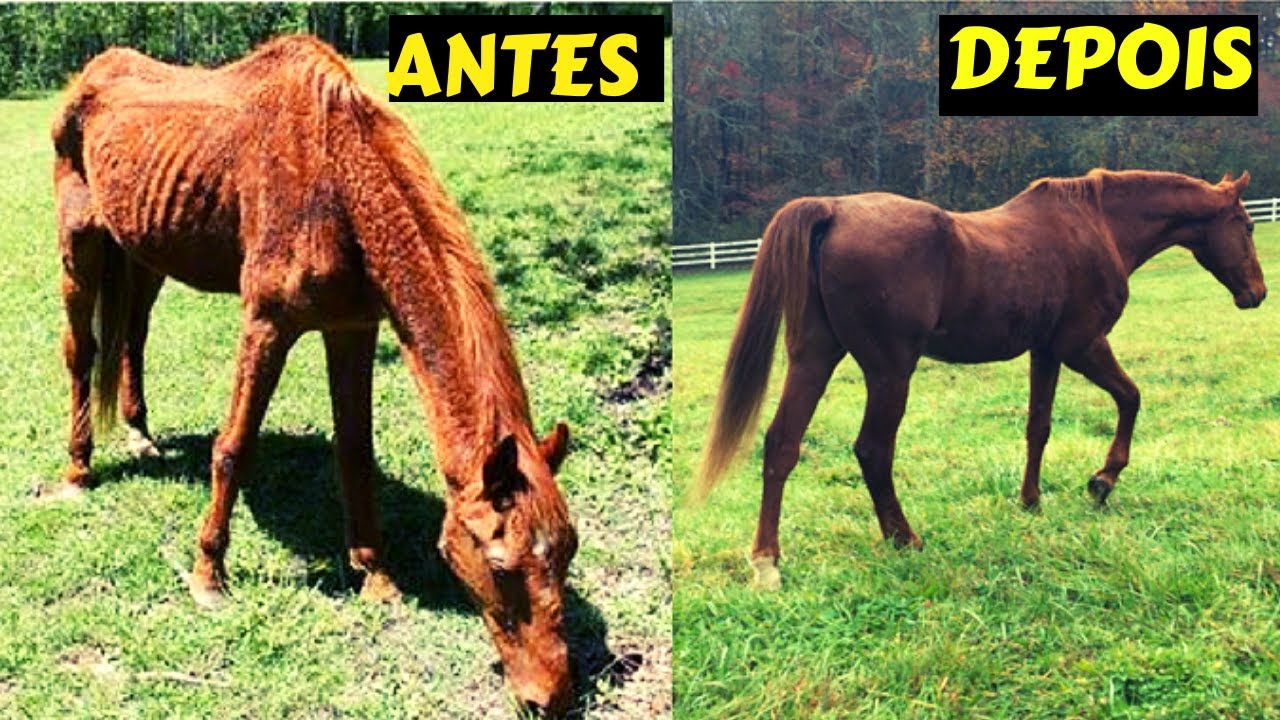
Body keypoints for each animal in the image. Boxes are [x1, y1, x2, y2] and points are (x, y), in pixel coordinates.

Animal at [50, 36, 578, 714]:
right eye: (502, 566)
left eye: (566, 553)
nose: (552, 697)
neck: (335, 178)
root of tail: (88, 76)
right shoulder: (267, 323)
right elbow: (233, 448)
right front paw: (208, 577)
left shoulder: (353, 327)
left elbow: (354, 452)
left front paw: (375, 575)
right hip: (80, 245)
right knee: (81, 352)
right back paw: (78, 469)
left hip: (143, 249)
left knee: (132, 333)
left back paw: (142, 435)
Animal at [697, 169, 1267, 590]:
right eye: (1246, 225)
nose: (1257, 293)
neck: (1097, 224)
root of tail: (832, 209)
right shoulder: (1082, 346)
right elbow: (1131, 398)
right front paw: (1103, 480)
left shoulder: (1046, 350)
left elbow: (1039, 426)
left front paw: (1031, 501)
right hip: (889, 371)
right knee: (873, 450)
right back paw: (902, 537)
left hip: (814, 358)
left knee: (783, 444)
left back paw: (767, 561)